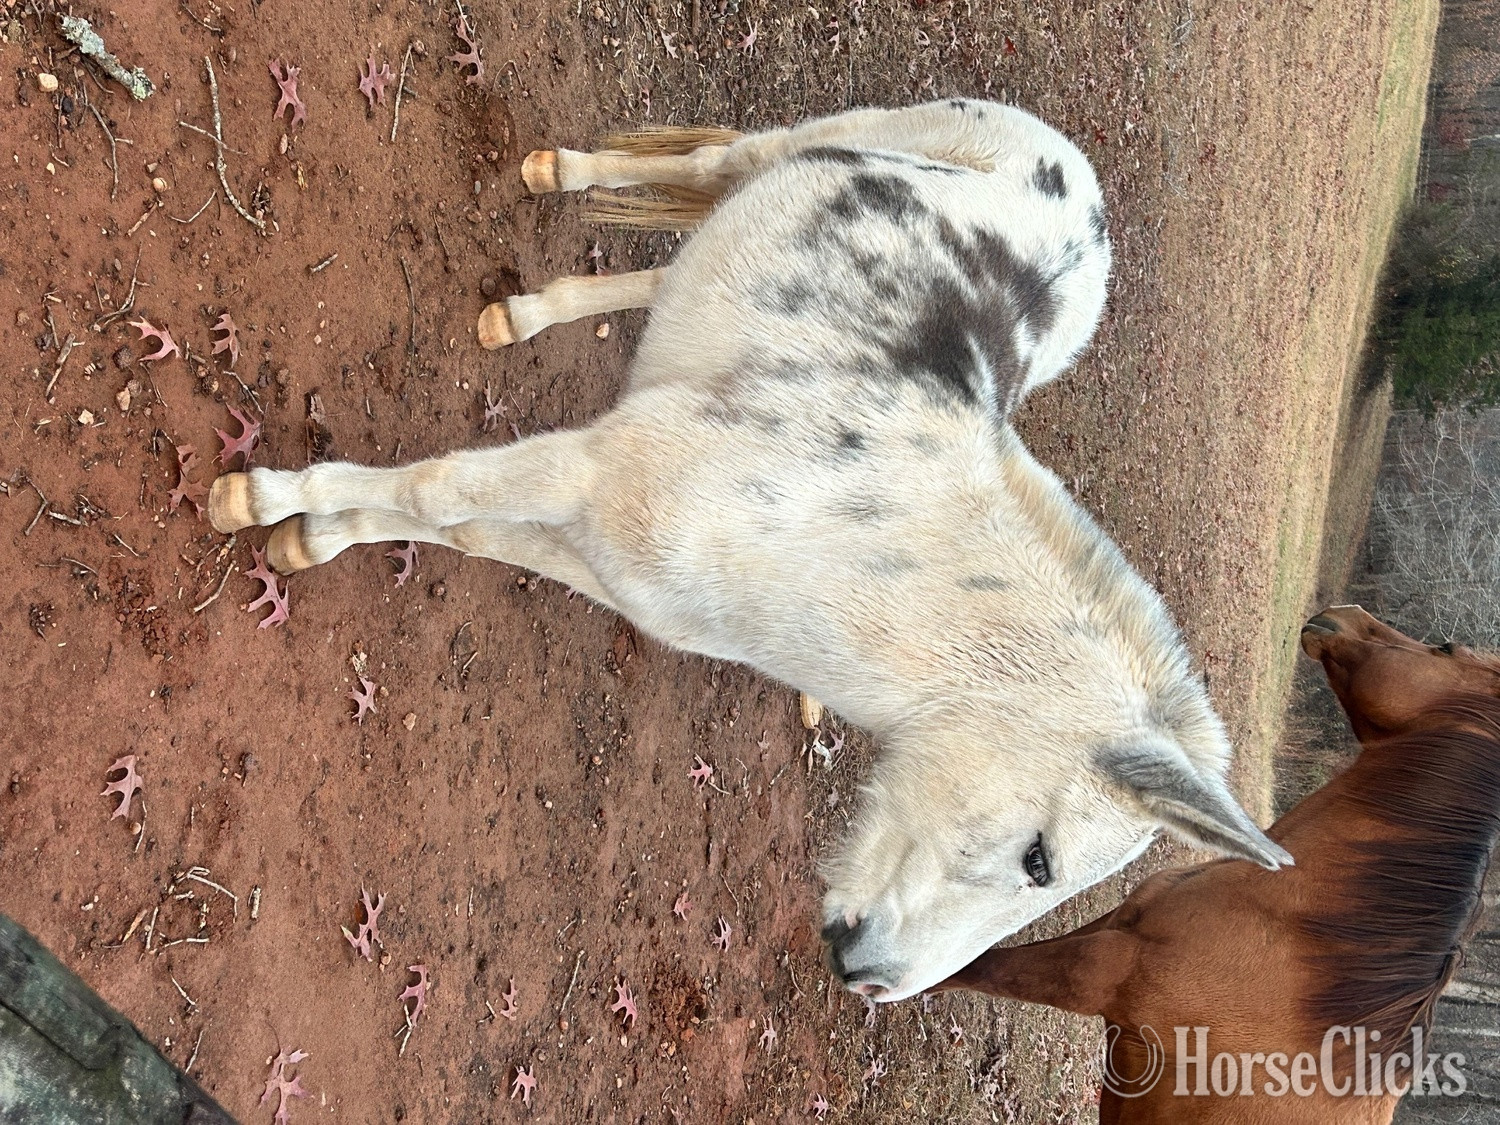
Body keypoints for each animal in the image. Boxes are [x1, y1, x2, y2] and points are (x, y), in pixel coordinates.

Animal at [206, 99, 1286, 1000]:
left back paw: (522, 315)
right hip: (810, 139)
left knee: (669, 265)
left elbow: (463, 529)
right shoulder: (596, 470)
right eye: (1040, 863)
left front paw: (312, 540)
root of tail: (1085, 198)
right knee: (711, 163)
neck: (814, 535)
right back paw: (551, 185)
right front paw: (263, 500)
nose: (871, 982)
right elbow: (440, 490)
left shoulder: (615, 561)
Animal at [939, 604, 1500, 1121]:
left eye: (1446, 649)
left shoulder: (1098, 971)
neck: (1302, 937)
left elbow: (975, 966)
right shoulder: (1122, 924)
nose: (1344, 613)